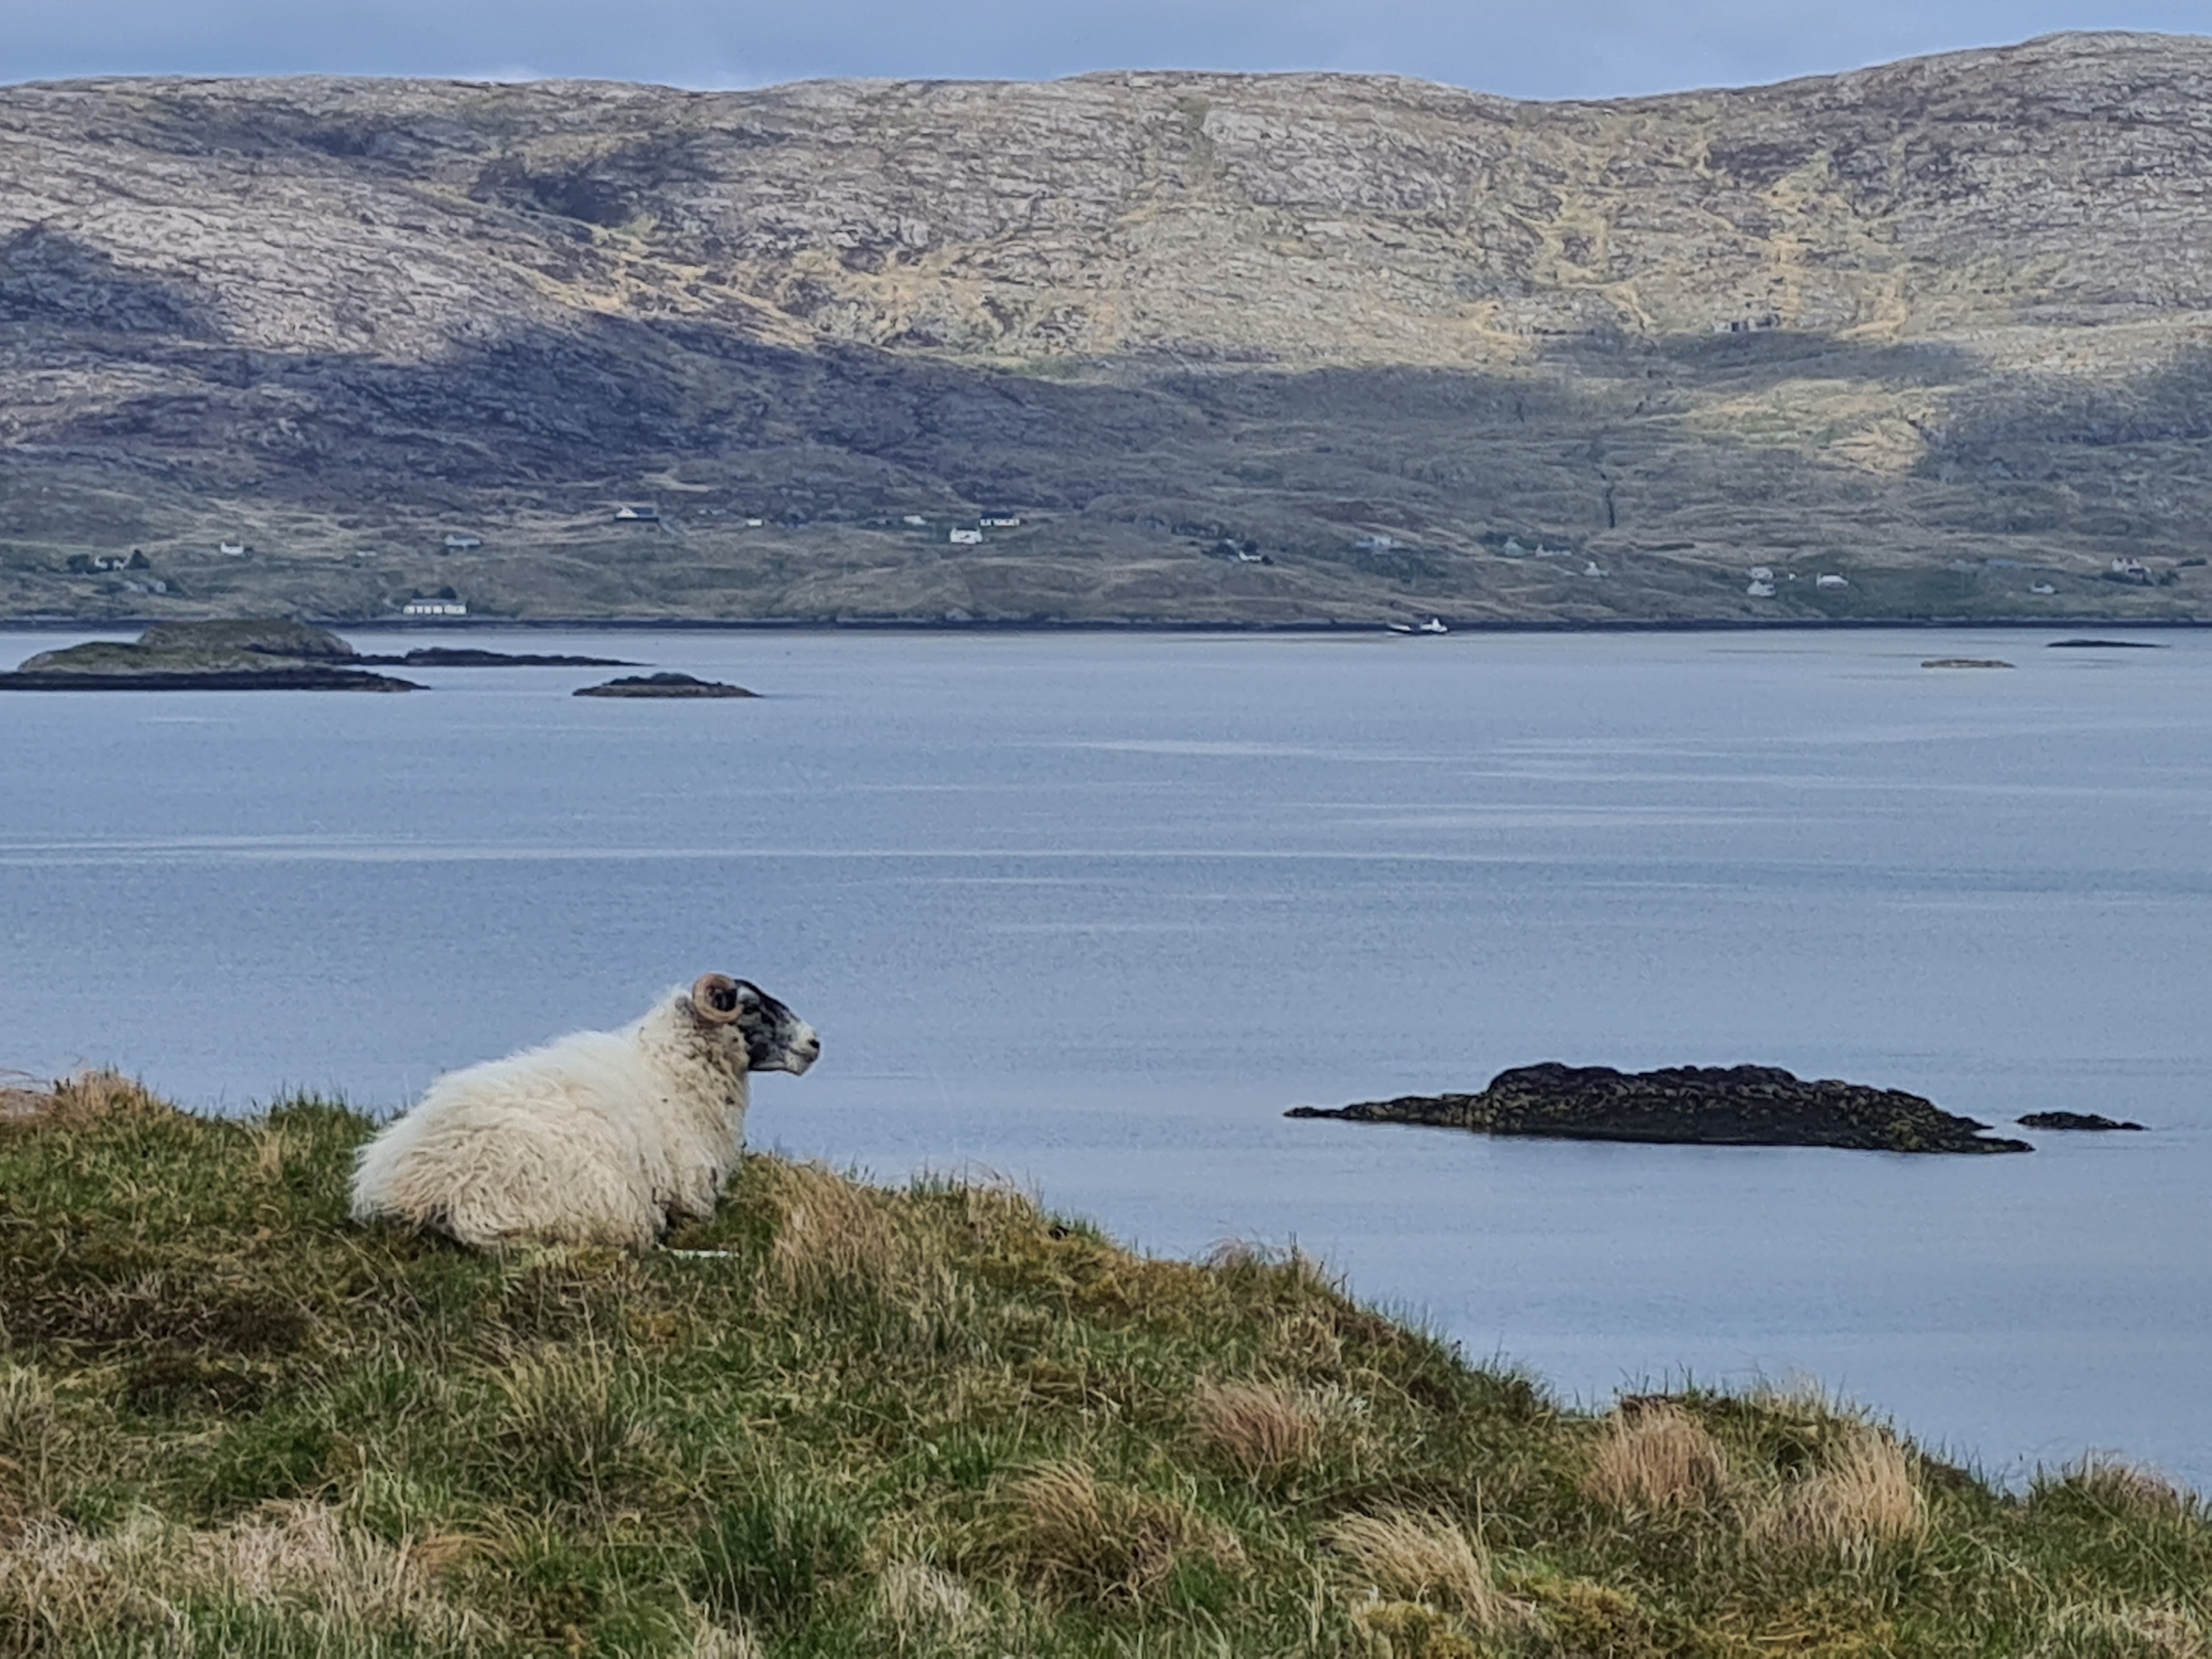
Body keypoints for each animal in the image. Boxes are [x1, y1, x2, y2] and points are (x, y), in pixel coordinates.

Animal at [350, 973, 820, 1251]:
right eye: (751, 1006)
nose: (815, 1042)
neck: (670, 1070)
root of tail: (422, 1183)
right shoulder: (692, 1197)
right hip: (597, 1204)